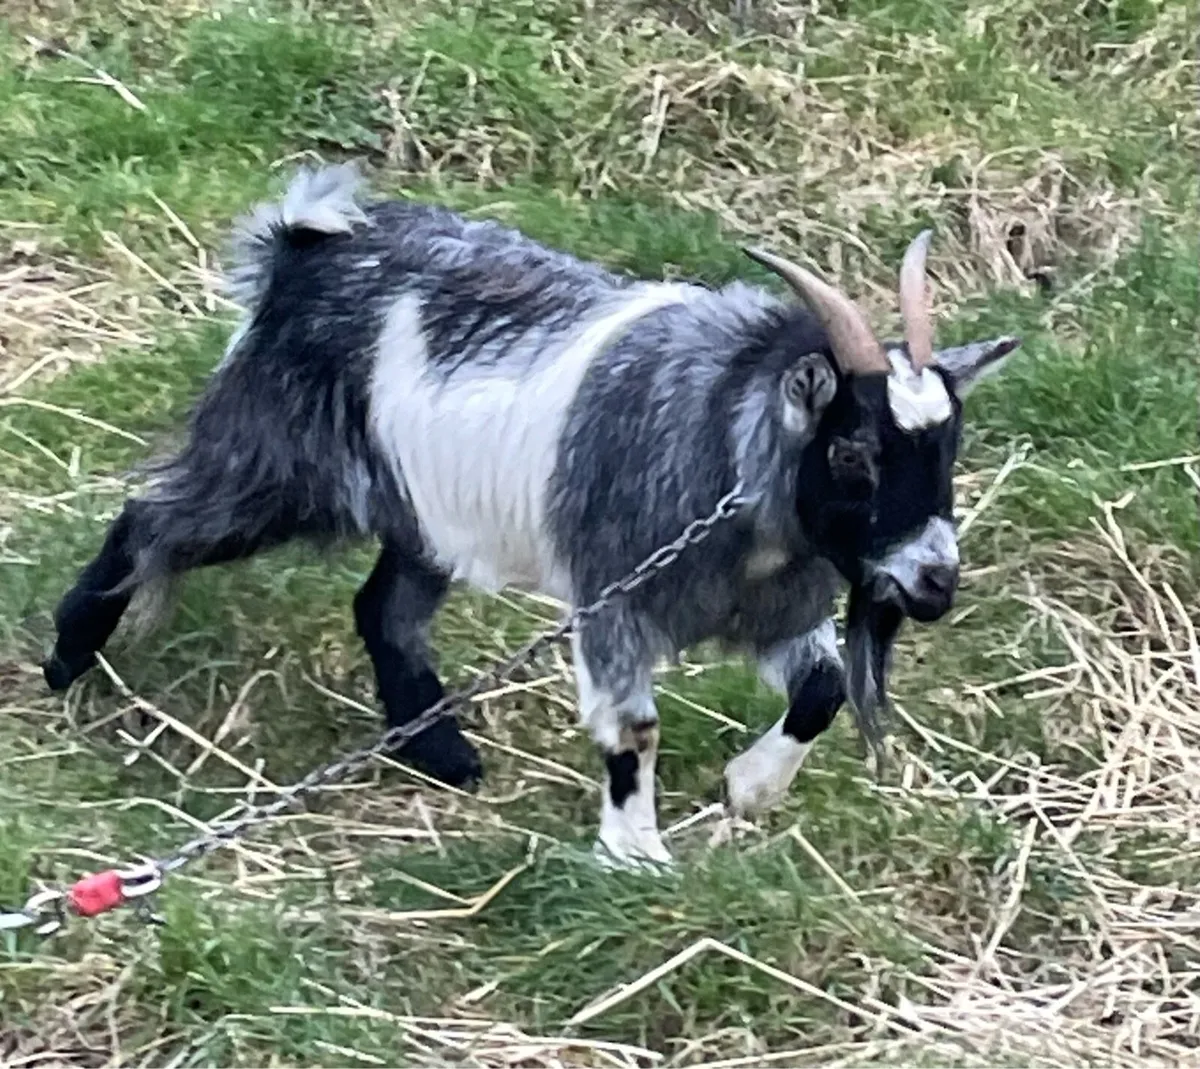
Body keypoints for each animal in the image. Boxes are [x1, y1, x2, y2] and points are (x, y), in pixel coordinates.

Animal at [43, 164, 1020, 866]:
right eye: (854, 453)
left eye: (949, 447)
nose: (936, 582)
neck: (729, 454)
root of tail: (303, 247)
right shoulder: (613, 599)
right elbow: (635, 728)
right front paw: (636, 852)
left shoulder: (779, 609)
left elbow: (819, 691)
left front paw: (749, 788)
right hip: (276, 466)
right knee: (149, 517)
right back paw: (67, 657)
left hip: (420, 514)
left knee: (383, 609)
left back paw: (443, 753)